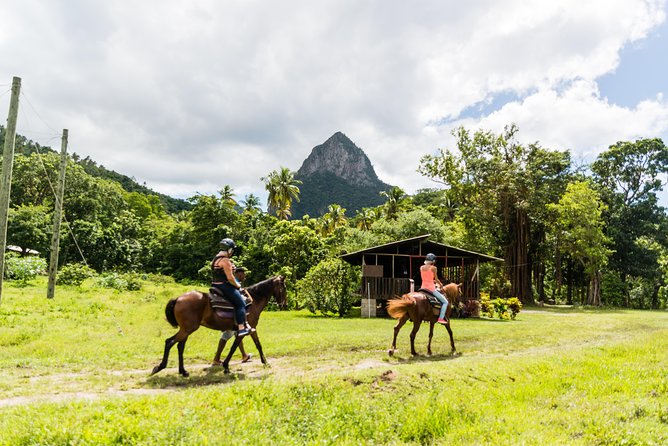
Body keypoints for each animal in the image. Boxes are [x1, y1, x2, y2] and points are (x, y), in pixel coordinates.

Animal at [151, 276, 288, 376]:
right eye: (284, 288)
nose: (284, 305)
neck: (253, 300)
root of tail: (178, 299)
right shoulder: (245, 330)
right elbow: (234, 347)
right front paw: (226, 366)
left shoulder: (251, 329)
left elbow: (258, 345)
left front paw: (265, 363)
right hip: (187, 329)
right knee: (170, 342)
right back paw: (160, 367)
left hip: (185, 330)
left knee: (180, 346)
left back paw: (183, 371)